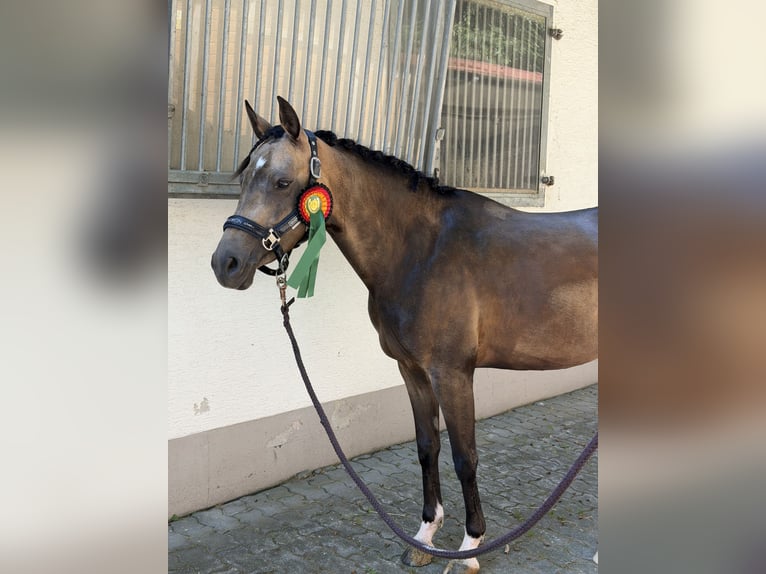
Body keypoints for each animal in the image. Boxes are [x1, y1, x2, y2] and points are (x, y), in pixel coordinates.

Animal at [211, 96, 598, 573]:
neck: (421, 251)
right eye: (246, 176)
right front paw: (425, 536)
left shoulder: (452, 374)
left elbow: (465, 457)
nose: (225, 263)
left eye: (283, 181)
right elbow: (426, 447)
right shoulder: (412, 371)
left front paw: (471, 547)